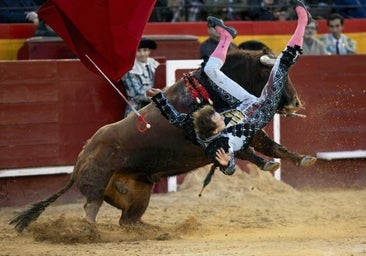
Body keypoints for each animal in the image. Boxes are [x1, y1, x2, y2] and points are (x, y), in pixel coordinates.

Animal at [10, 49, 316, 232]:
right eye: (273, 75)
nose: (297, 103)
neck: (209, 89)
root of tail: (80, 158)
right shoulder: (222, 134)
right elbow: (248, 150)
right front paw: (270, 165)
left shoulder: (245, 127)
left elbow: (269, 145)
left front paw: (301, 159)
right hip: (96, 182)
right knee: (91, 207)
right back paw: (90, 233)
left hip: (139, 194)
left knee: (127, 220)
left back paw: (150, 231)